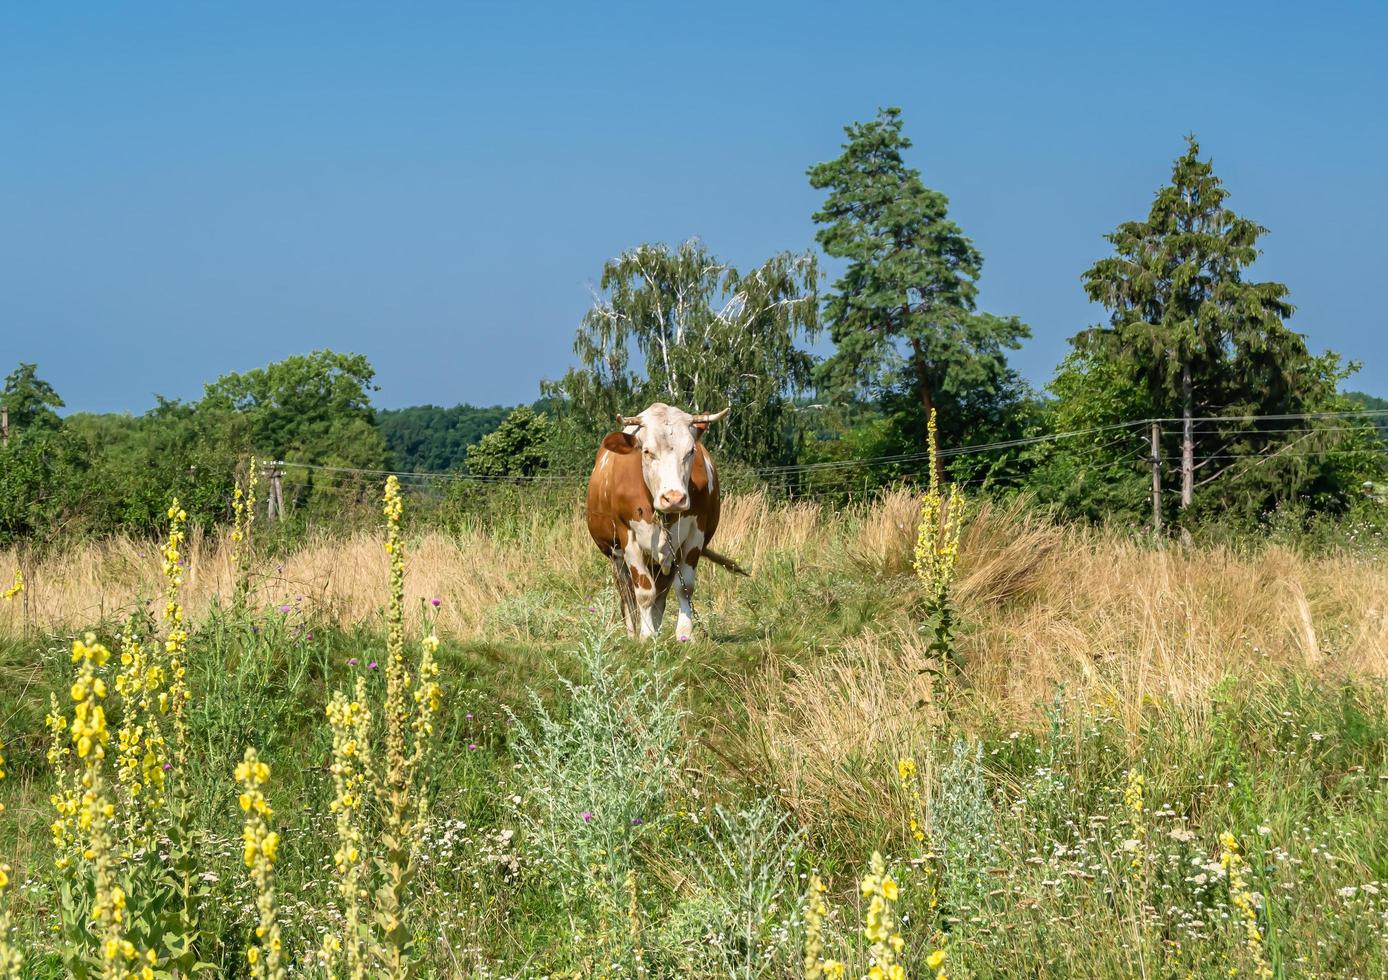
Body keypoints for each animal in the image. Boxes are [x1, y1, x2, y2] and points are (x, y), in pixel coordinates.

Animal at [582, 399, 743, 638]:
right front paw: (646, 636)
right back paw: (633, 633)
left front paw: (684, 634)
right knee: (627, 594)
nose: (674, 498)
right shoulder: (627, 536)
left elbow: (684, 588)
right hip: (616, 557)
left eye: (690, 451)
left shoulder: (696, 533)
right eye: (647, 451)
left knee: (661, 593)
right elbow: (643, 592)